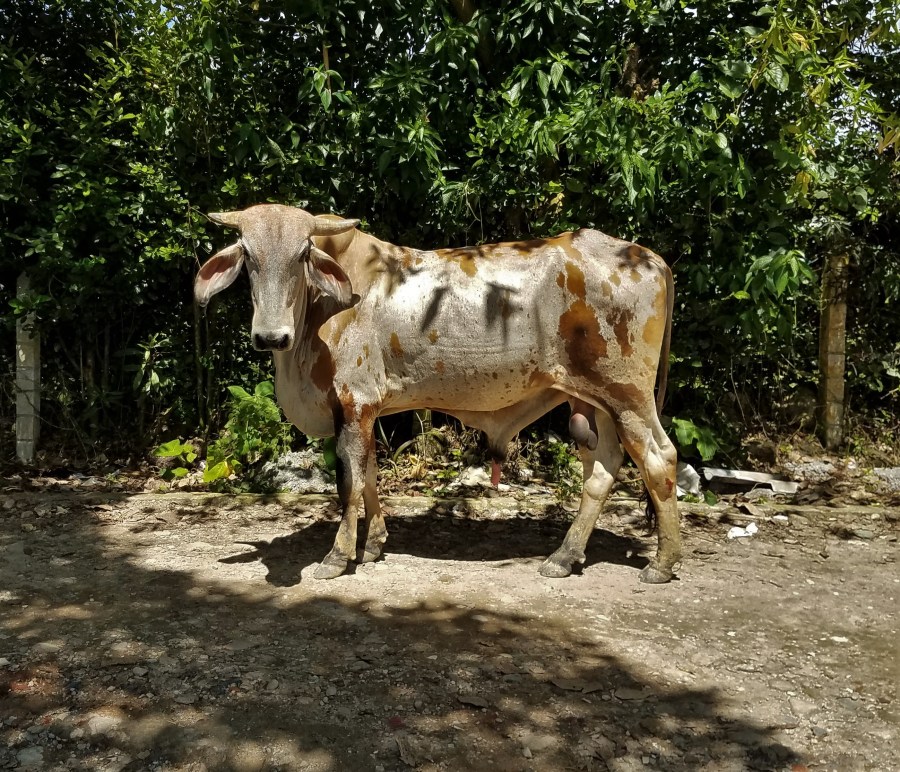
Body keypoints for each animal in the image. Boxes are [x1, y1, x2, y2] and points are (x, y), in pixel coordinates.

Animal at [194, 204, 680, 583]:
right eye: (249, 256)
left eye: (301, 254)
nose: (270, 336)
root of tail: (649, 257)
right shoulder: (366, 411)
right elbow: (370, 476)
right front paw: (374, 545)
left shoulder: (354, 403)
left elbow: (349, 482)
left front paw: (337, 556)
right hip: (593, 401)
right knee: (603, 468)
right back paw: (564, 556)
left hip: (628, 395)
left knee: (660, 459)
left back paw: (662, 562)